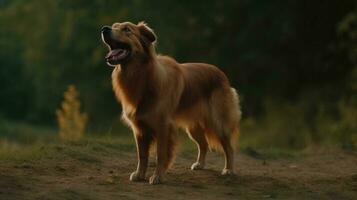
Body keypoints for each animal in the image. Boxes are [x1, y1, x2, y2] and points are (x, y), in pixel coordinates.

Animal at [100, 21, 241, 184]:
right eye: (114, 25)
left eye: (127, 29)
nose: (104, 29)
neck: (143, 76)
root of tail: (221, 74)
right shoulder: (139, 128)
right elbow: (142, 155)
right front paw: (139, 174)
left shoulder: (163, 126)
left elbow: (160, 154)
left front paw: (158, 176)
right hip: (193, 127)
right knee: (204, 144)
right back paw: (200, 164)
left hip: (218, 123)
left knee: (229, 147)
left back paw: (228, 170)